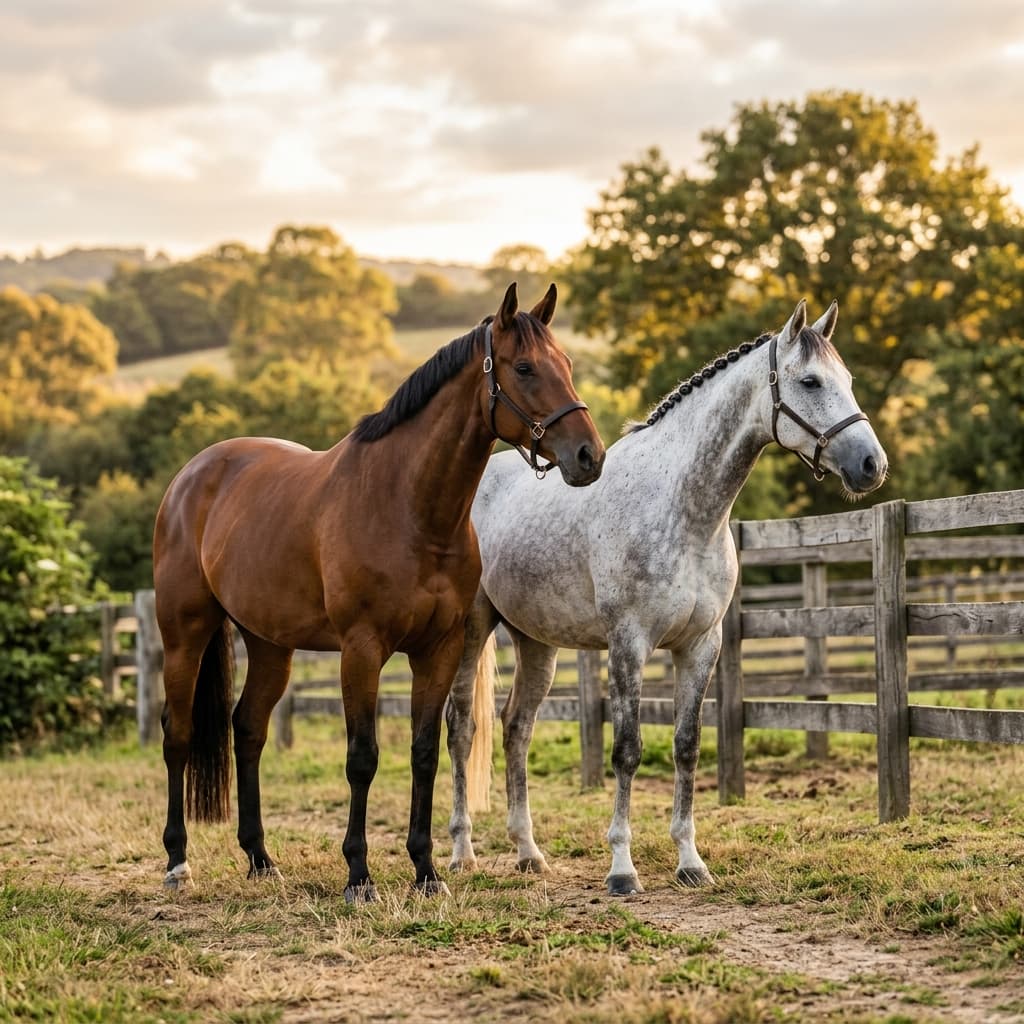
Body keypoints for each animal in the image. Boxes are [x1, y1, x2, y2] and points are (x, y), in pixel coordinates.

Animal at [152, 282, 606, 901]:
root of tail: (190, 477)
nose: (590, 456)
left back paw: (261, 859)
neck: (408, 507)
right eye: (525, 367)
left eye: (567, 364)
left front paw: (427, 870)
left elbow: (424, 753)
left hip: (270, 645)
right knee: (177, 734)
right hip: (185, 635)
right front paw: (359, 875)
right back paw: (178, 862)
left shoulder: (437, 651)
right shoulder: (362, 650)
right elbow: (362, 758)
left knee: (247, 729)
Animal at [445, 299, 888, 895]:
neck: (682, 508)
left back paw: (528, 853)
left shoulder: (701, 645)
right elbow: (627, 750)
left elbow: (687, 745)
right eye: (810, 381)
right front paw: (621, 868)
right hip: (473, 630)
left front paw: (690, 861)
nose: (871, 465)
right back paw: (462, 852)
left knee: (517, 728)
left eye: (848, 381)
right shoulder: (629, 645)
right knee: (463, 728)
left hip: (537, 643)